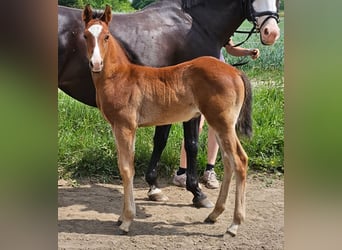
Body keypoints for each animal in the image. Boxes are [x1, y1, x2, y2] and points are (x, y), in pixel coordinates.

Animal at [58, 0, 280, 207]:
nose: (271, 33)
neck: (195, 23)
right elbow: (191, 144)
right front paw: (196, 192)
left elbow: (160, 140)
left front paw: (154, 186)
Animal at [82, 4, 252, 235]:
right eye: (85, 35)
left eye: (106, 36)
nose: (96, 63)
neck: (120, 76)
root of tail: (234, 71)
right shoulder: (119, 127)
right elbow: (124, 166)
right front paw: (121, 217)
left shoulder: (125, 126)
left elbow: (127, 169)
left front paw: (127, 220)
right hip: (219, 123)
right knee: (228, 161)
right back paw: (214, 214)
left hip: (223, 123)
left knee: (239, 160)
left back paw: (234, 224)